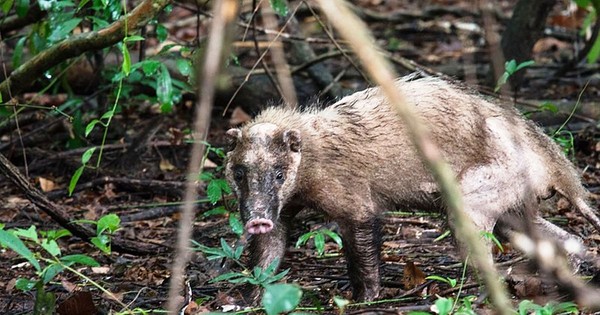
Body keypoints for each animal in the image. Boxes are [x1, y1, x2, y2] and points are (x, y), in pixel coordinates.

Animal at [224, 75, 600, 302]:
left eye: (279, 174)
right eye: (239, 172)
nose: (256, 219)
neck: (311, 152)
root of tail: (555, 164)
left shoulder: (354, 198)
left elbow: (362, 244)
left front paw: (365, 297)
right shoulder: (281, 208)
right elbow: (270, 248)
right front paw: (253, 296)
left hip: (479, 191)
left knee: (482, 247)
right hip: (513, 203)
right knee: (546, 233)